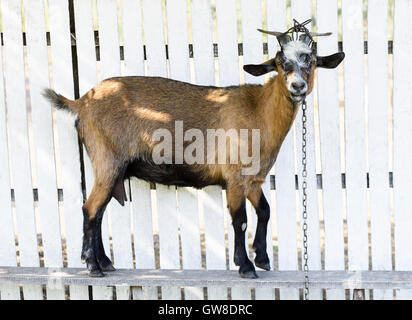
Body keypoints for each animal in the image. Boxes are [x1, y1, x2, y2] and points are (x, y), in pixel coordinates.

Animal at [42, 25, 344, 278]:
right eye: (281, 64)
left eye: (312, 62)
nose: (297, 87)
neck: (258, 110)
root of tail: (82, 101)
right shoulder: (235, 179)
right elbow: (240, 220)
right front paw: (245, 266)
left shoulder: (254, 180)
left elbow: (265, 211)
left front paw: (263, 258)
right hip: (107, 160)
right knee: (91, 208)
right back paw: (93, 266)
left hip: (113, 168)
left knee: (99, 210)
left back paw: (105, 262)